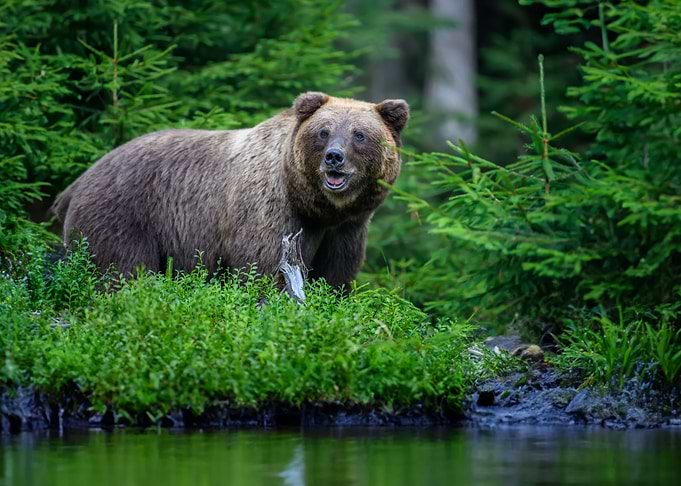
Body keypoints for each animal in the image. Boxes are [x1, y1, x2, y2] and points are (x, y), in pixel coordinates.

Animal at [51, 92, 409, 288]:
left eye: (359, 134)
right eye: (323, 131)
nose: (334, 157)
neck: (316, 206)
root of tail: (77, 182)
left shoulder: (347, 229)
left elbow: (336, 274)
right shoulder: (269, 211)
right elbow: (265, 268)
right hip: (123, 213)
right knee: (120, 267)